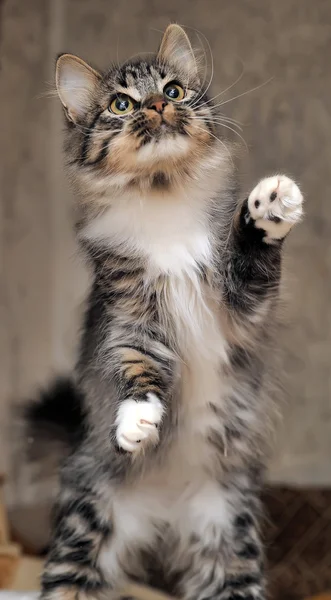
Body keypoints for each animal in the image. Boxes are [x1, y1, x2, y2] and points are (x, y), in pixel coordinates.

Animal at [20, 21, 304, 600]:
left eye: (173, 90)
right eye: (122, 104)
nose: (155, 106)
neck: (164, 200)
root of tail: (166, 516)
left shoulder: (241, 309)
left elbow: (254, 256)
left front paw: (270, 205)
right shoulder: (130, 315)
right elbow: (137, 369)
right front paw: (137, 422)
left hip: (228, 539)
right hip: (85, 531)